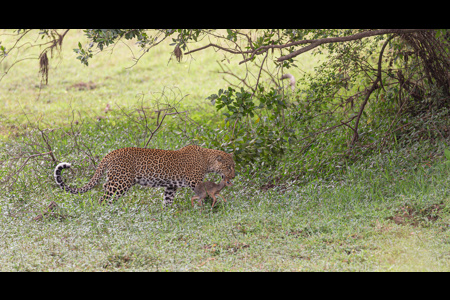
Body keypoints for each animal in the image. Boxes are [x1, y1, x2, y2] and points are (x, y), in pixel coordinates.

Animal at [53, 144, 236, 205]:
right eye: (229, 167)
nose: (233, 176)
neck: (207, 159)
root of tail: (111, 153)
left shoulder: (171, 186)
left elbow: (167, 199)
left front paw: (167, 213)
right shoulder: (194, 181)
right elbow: (203, 194)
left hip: (113, 179)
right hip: (120, 182)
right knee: (103, 199)